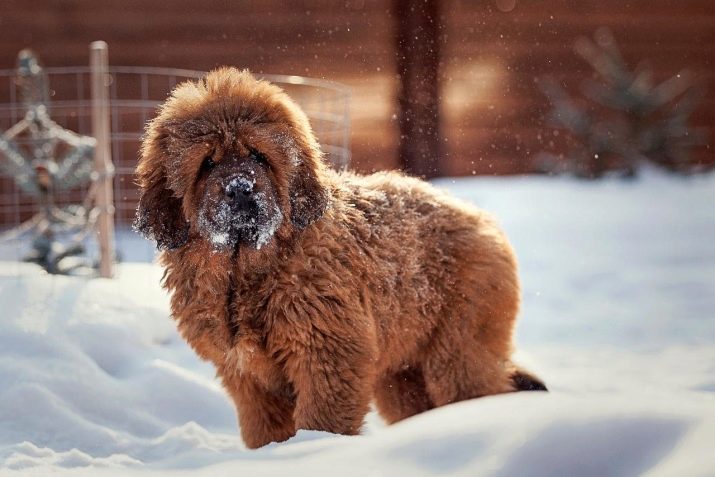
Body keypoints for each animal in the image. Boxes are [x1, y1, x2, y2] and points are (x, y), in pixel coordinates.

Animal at [136, 66, 548, 446]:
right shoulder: (247, 376)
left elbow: (322, 419)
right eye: (207, 162)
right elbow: (264, 429)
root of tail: (479, 217)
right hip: (402, 375)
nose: (240, 189)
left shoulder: (327, 355)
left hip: (458, 351)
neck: (247, 272)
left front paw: (316, 449)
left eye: (258, 155)